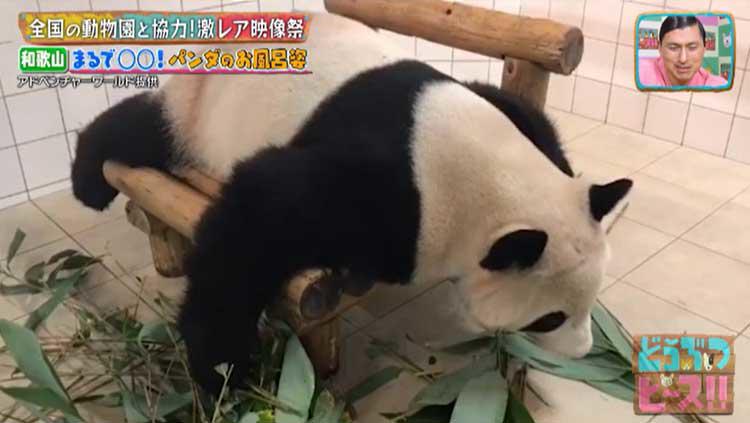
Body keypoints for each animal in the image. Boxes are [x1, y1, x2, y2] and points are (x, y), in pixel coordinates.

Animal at [69, 12, 636, 398]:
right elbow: (260, 217)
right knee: (146, 129)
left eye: (591, 302)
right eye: (549, 319)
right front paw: (224, 370)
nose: (584, 351)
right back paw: (88, 178)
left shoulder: (498, 118)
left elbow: (531, 118)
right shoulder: (391, 194)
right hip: (204, 113)